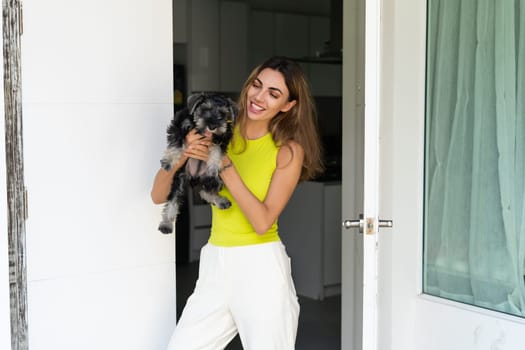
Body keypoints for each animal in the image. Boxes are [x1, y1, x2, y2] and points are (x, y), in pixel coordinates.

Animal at [157, 93, 236, 235]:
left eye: (222, 114)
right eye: (205, 109)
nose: (212, 126)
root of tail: (193, 178)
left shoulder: (223, 135)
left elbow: (216, 149)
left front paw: (213, 167)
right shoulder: (179, 125)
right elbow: (176, 143)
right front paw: (169, 160)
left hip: (216, 180)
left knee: (207, 191)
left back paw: (221, 200)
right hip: (178, 179)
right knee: (173, 200)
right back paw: (166, 224)